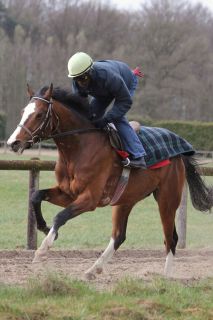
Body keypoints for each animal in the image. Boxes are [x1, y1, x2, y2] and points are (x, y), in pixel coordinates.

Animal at [7, 84, 213, 278]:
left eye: (39, 114)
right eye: (23, 112)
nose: (13, 143)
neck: (80, 148)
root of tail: (180, 153)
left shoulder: (90, 199)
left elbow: (60, 216)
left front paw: (43, 249)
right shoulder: (68, 193)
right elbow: (36, 195)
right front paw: (43, 227)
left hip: (167, 199)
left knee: (171, 238)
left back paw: (166, 276)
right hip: (125, 200)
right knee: (119, 236)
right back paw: (93, 270)